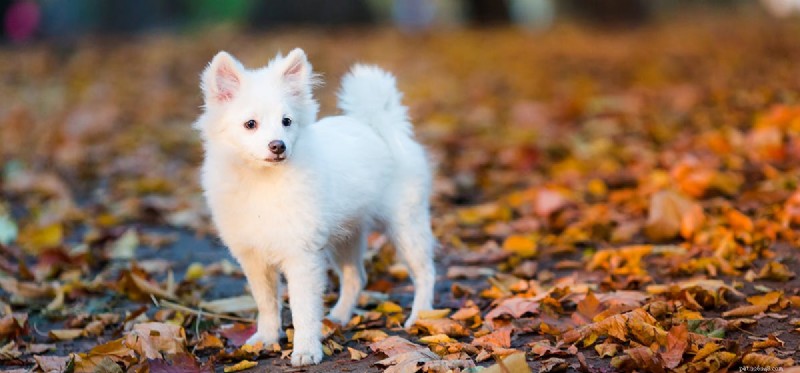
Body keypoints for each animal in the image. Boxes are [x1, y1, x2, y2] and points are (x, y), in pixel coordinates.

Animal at [196, 48, 438, 364]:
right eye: (250, 124)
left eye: (287, 121)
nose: (278, 146)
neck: (262, 181)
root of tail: (376, 124)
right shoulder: (254, 258)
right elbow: (267, 303)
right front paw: (266, 338)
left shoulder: (302, 257)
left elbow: (304, 310)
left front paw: (306, 350)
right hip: (346, 236)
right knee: (356, 277)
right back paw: (339, 317)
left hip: (405, 225)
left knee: (425, 272)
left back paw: (421, 316)